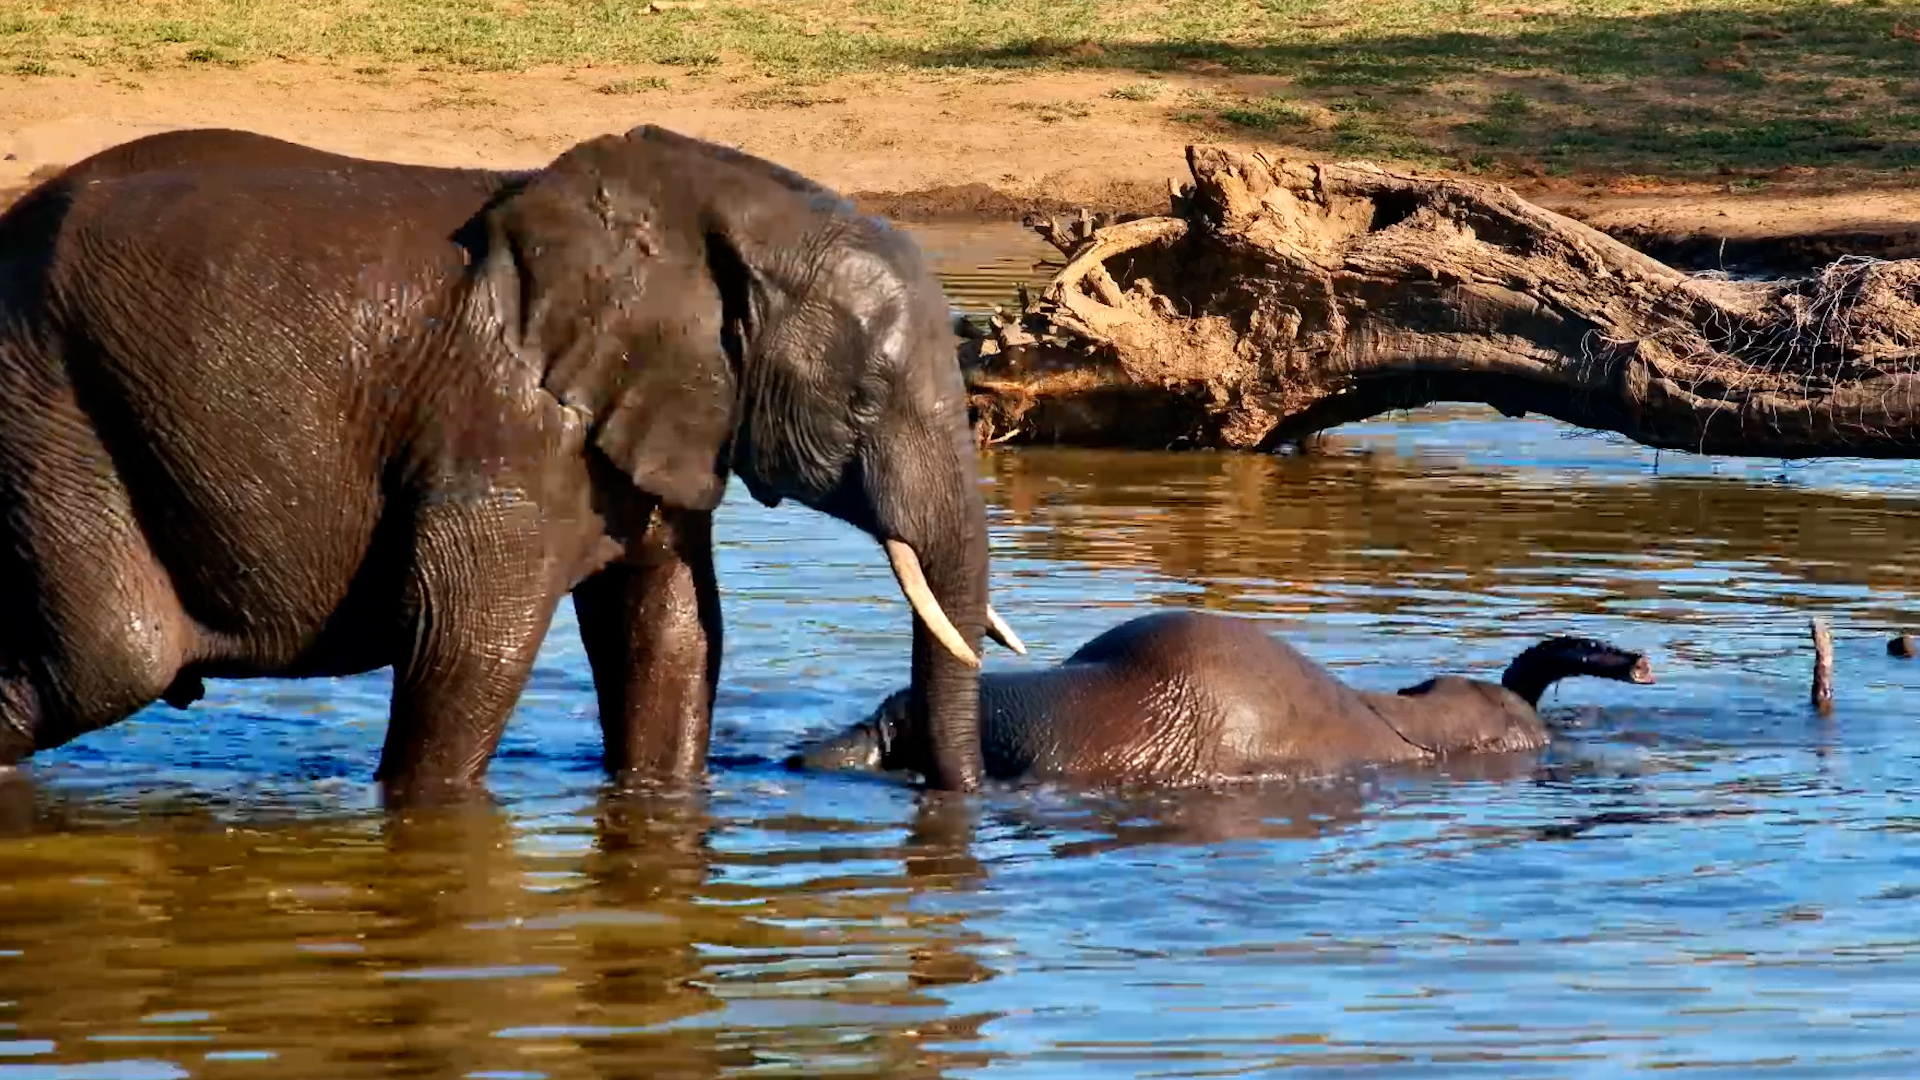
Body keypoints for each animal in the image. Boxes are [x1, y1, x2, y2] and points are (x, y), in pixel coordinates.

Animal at [0, 124, 1025, 800]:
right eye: (862, 405)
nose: (947, 799)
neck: (711, 209)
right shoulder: (503, 427)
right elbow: (467, 643)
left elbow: (673, 635)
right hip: (48, 400)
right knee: (114, 661)